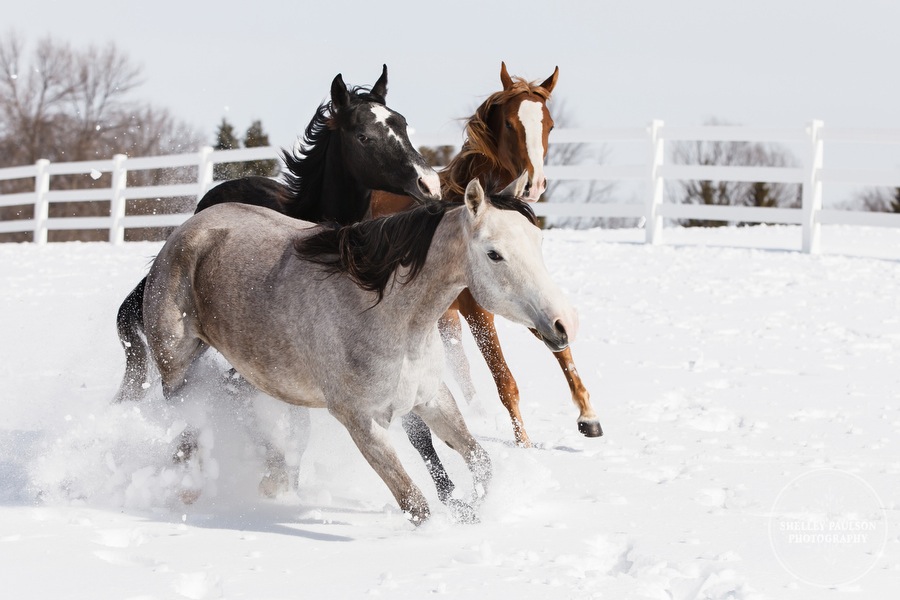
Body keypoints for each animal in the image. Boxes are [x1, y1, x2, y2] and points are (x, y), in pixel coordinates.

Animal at [116, 178, 576, 524]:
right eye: (494, 253)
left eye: (537, 242)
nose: (562, 325)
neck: (388, 313)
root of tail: (183, 234)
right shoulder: (361, 421)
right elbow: (414, 502)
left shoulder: (430, 397)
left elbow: (481, 461)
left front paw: (470, 510)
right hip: (178, 370)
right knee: (192, 421)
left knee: (234, 410)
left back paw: (273, 477)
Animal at [370, 63, 600, 448]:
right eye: (509, 123)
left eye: (550, 125)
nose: (534, 185)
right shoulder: (479, 310)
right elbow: (504, 379)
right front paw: (523, 444)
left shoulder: (529, 298)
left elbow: (560, 346)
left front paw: (588, 416)